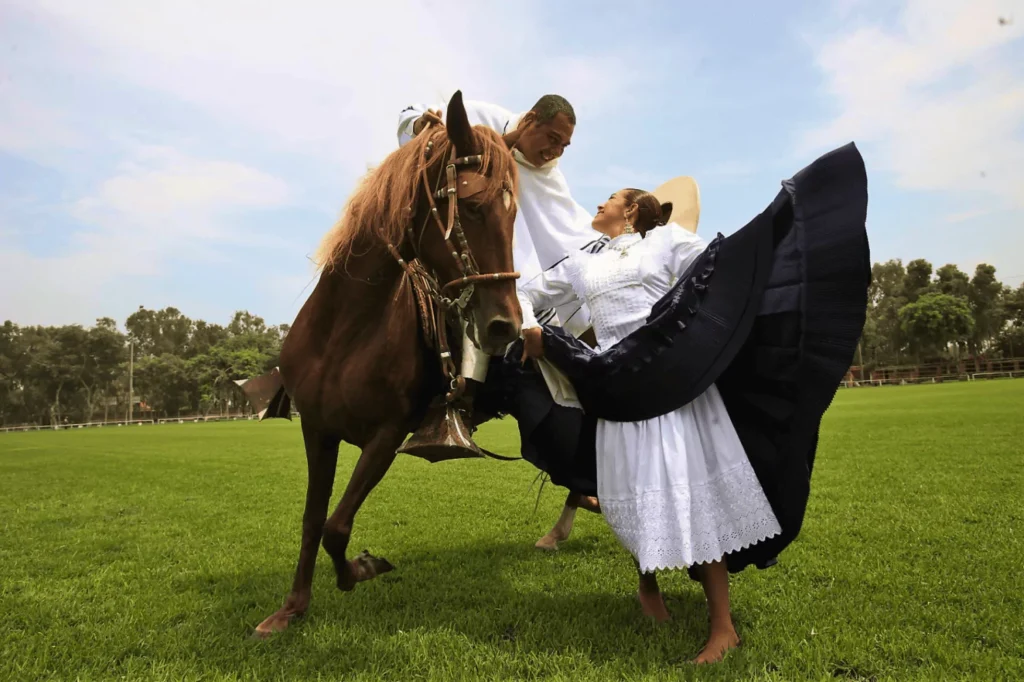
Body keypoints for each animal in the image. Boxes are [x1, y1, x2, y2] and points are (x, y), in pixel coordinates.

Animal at [254, 93, 520, 634]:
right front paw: (292, 607)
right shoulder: (317, 429)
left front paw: (361, 568)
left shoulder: (386, 435)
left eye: (514, 214)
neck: (344, 330)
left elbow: (337, 526)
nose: (507, 325)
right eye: (474, 207)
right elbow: (313, 519)